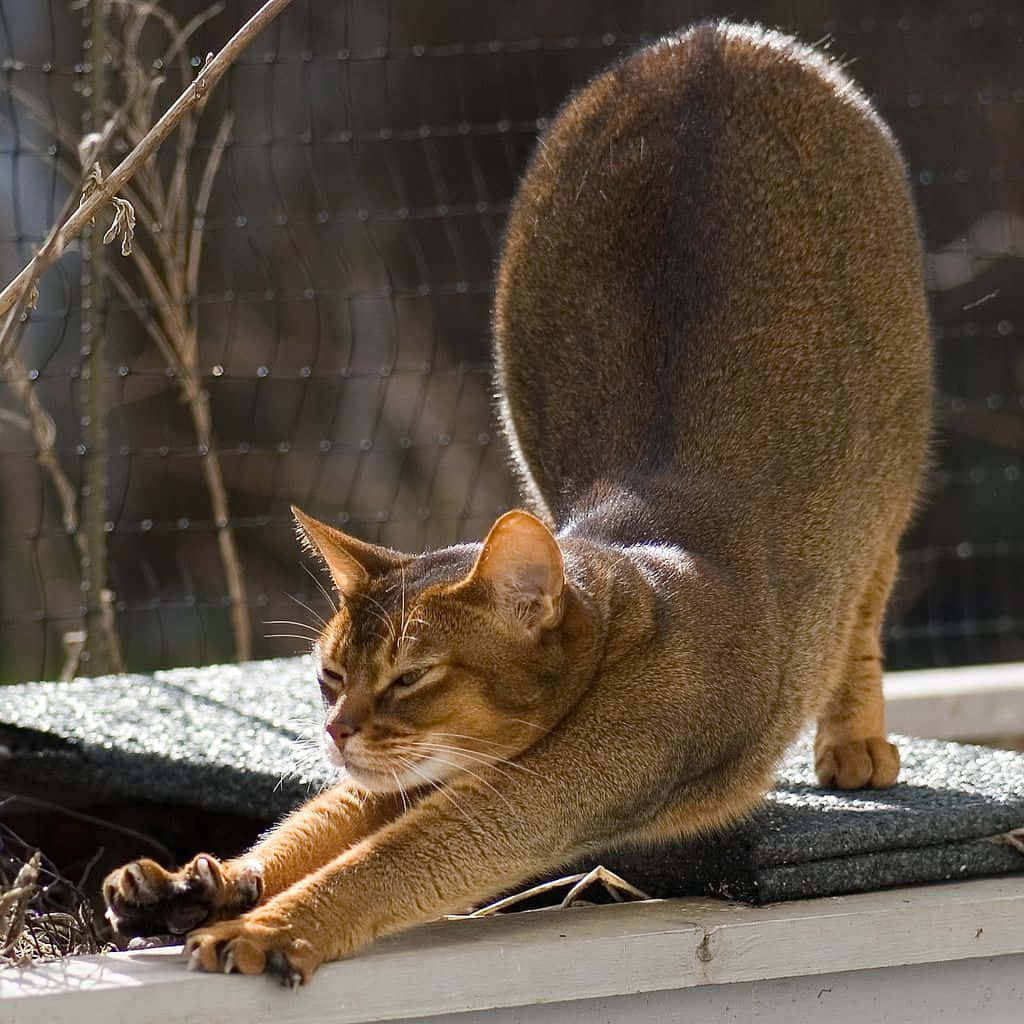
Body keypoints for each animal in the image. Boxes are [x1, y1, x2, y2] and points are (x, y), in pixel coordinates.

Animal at [105, 24, 937, 983]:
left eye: (412, 675)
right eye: (330, 676)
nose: (338, 731)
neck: (622, 607)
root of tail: (714, 42)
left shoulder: (554, 787)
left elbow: (396, 861)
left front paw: (270, 927)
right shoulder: (430, 766)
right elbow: (326, 822)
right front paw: (203, 884)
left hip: (891, 457)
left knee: (867, 592)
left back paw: (854, 744)